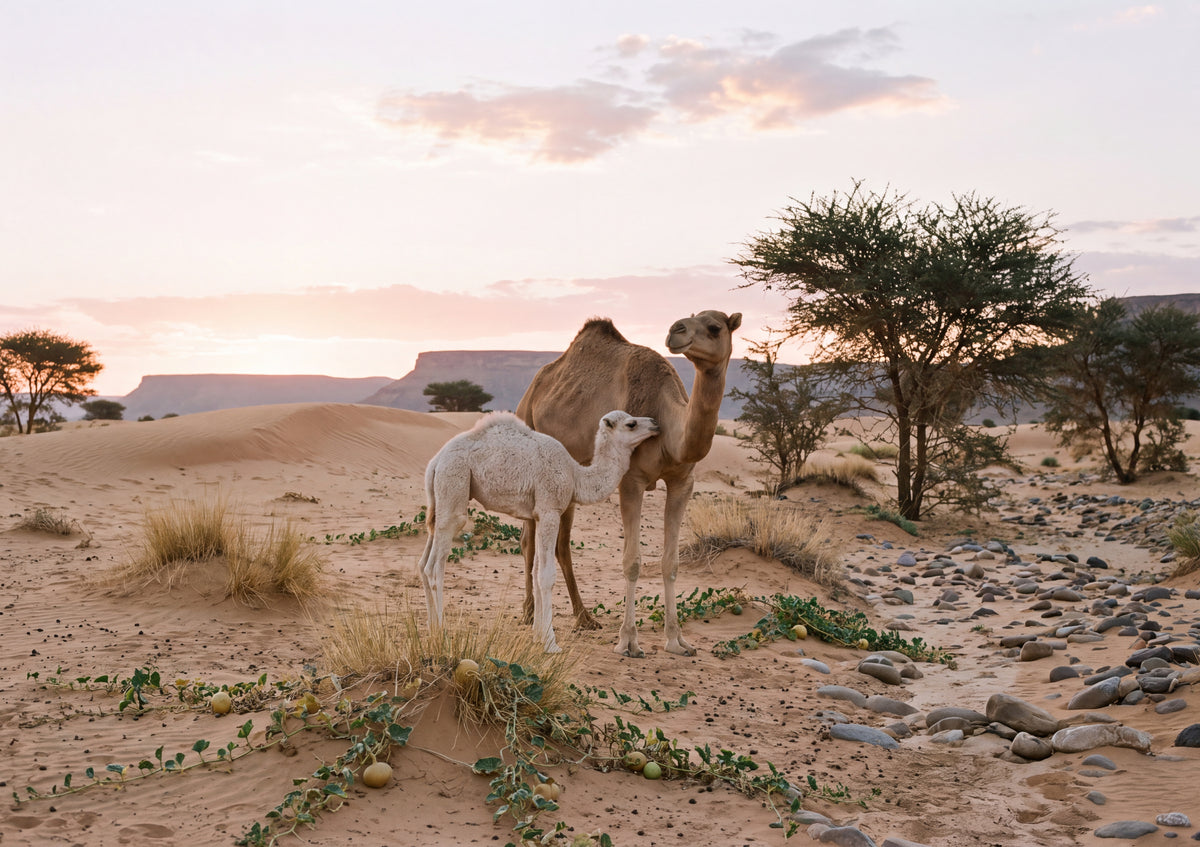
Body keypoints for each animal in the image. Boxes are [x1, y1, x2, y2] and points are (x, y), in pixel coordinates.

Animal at [417, 409, 659, 653]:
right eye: (631, 424)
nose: (655, 424)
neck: (575, 475)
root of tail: (435, 462)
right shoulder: (550, 510)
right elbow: (546, 575)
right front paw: (551, 643)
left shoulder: (537, 515)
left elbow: (535, 573)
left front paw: (538, 637)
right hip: (453, 487)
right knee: (435, 566)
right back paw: (442, 633)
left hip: (438, 501)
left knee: (423, 563)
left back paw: (431, 629)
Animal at [516, 310, 742, 657]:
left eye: (715, 327)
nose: (675, 331)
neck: (669, 427)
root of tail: (531, 391)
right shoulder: (631, 482)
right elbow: (632, 562)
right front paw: (628, 641)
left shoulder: (683, 483)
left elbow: (671, 563)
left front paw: (677, 641)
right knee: (530, 542)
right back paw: (530, 613)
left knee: (560, 545)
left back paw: (584, 617)